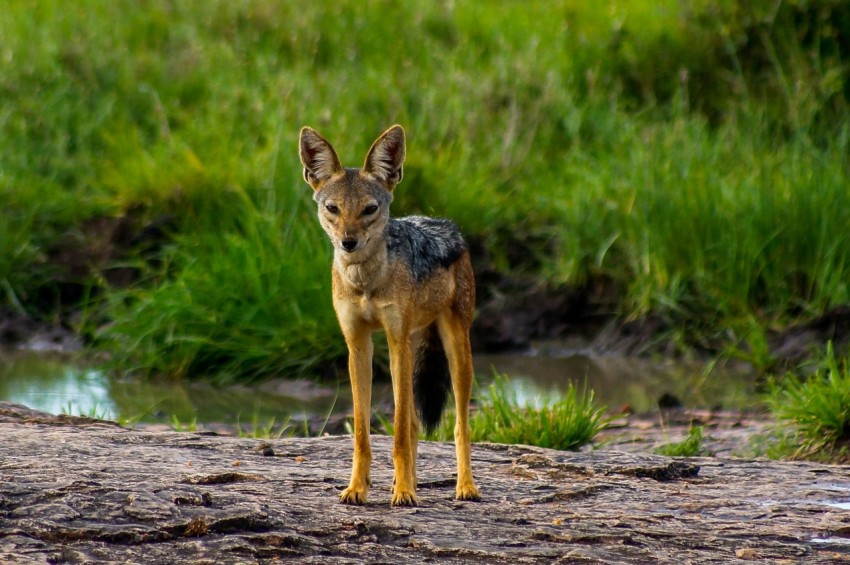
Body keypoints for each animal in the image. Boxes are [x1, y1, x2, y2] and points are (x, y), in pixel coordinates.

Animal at [299, 124, 480, 506]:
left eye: (369, 209)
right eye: (333, 208)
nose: (348, 242)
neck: (365, 281)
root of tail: (447, 225)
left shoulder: (396, 344)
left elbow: (396, 434)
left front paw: (404, 493)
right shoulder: (357, 346)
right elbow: (363, 434)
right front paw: (357, 488)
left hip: (453, 349)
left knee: (458, 424)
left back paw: (465, 487)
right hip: (413, 347)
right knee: (412, 423)